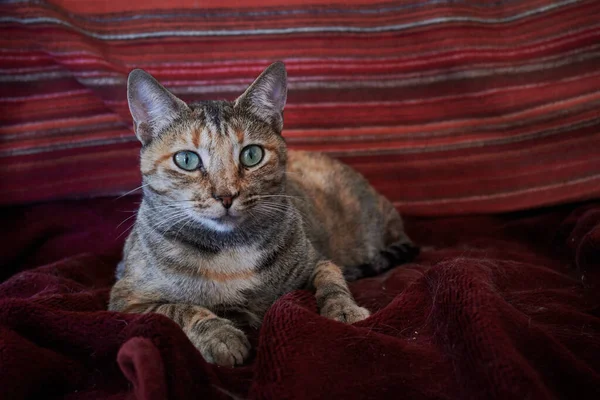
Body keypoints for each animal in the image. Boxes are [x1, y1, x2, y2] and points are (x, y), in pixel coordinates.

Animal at [109, 61, 418, 366]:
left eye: (251, 155)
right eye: (186, 159)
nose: (226, 195)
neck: (229, 250)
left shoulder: (317, 261)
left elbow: (332, 281)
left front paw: (344, 309)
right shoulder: (126, 299)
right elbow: (178, 309)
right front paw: (220, 335)